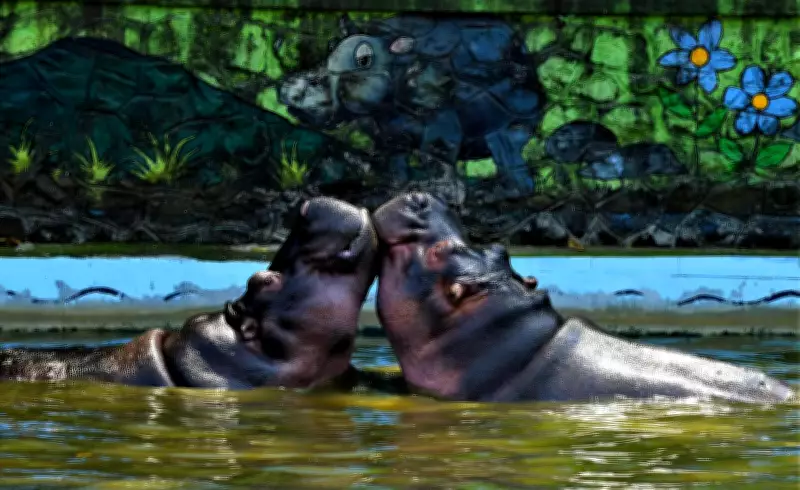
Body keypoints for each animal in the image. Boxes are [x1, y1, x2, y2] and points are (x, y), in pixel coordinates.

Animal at [278, 15, 546, 198]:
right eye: (331, 44)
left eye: (363, 59)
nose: (286, 89)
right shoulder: (383, 126)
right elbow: (394, 156)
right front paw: (392, 189)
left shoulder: (438, 107)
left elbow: (440, 148)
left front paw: (441, 192)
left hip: (515, 108)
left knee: (504, 143)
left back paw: (498, 194)